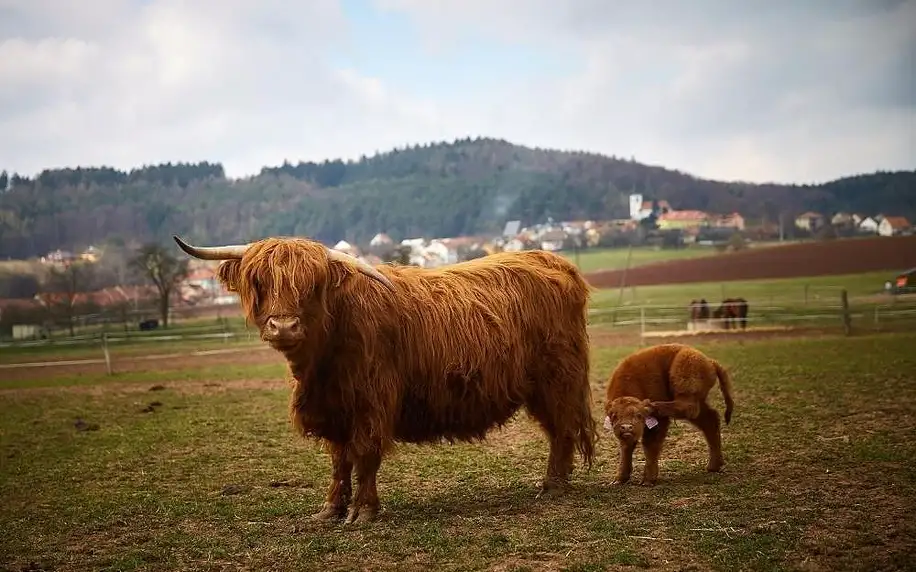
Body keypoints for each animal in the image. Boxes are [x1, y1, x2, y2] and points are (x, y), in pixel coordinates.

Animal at [174, 236, 596, 524]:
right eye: (259, 283)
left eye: (312, 286)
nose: (283, 326)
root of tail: (550, 258)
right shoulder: (335, 409)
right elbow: (339, 461)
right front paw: (330, 510)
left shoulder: (371, 403)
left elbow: (364, 455)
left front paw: (363, 512)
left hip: (557, 380)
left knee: (562, 430)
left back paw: (552, 486)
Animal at [604, 344, 732, 488]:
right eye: (614, 416)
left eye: (639, 415)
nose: (626, 427)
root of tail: (709, 361)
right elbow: (626, 448)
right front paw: (619, 479)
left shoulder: (659, 423)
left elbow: (650, 445)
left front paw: (648, 480)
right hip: (699, 404)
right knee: (709, 420)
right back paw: (714, 466)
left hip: (683, 381)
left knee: (689, 407)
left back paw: (653, 405)